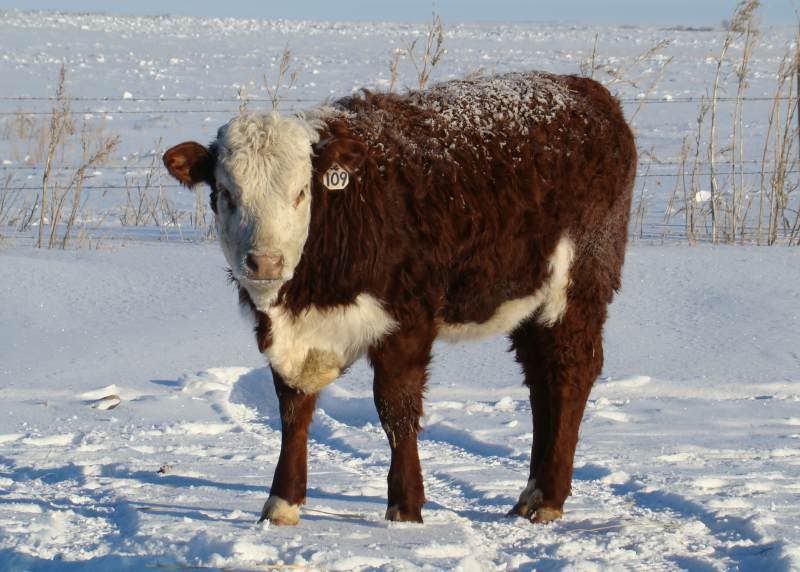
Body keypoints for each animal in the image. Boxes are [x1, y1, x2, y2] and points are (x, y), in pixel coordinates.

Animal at [163, 71, 636, 526]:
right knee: (540, 379)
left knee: (570, 373)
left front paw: (405, 508)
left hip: (579, 284)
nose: (264, 262)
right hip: (531, 299)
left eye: (300, 192)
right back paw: (530, 495)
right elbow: (293, 409)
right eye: (226, 193)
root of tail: (586, 89)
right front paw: (282, 502)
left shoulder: (408, 320)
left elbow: (396, 409)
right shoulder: (289, 336)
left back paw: (549, 500)